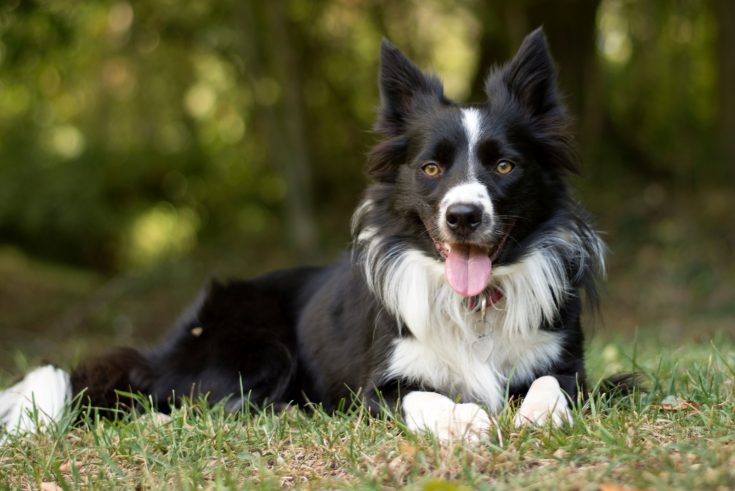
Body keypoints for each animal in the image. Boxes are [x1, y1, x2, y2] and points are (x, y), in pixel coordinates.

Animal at [0, 29, 608, 442]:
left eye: (504, 166)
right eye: (431, 169)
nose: (463, 216)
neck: (474, 305)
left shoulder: (569, 366)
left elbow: (553, 385)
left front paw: (537, 413)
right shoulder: (375, 389)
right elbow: (425, 398)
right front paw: (466, 421)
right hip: (255, 346)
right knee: (178, 400)